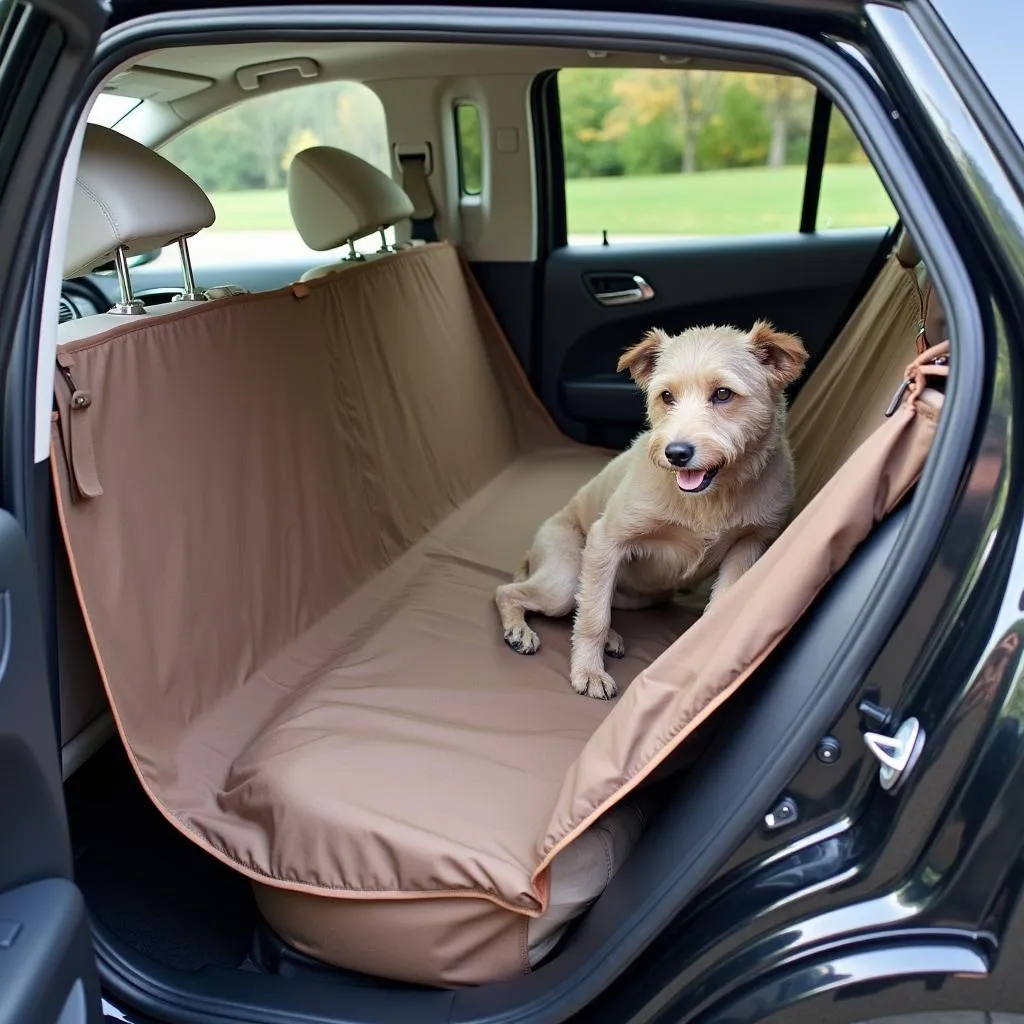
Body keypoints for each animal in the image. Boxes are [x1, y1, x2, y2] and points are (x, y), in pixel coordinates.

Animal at [495, 323, 806, 700]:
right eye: (666, 396)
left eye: (722, 394)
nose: (676, 453)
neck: (711, 497)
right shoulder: (606, 540)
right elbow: (593, 619)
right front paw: (589, 671)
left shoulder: (747, 547)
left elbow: (720, 609)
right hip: (563, 580)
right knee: (516, 593)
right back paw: (520, 630)